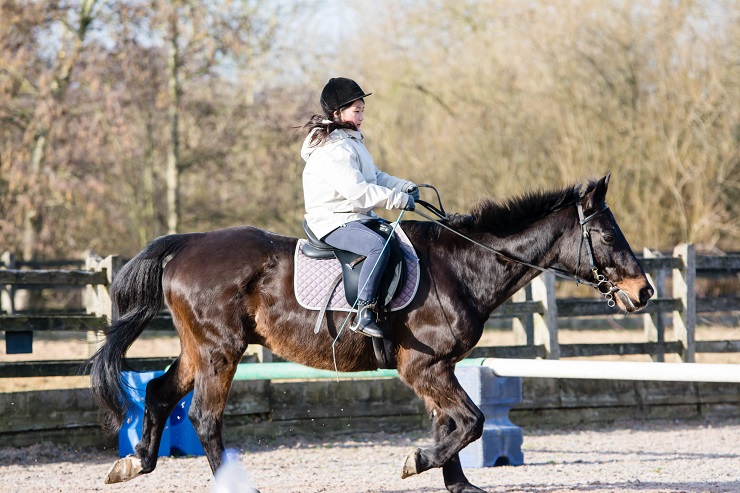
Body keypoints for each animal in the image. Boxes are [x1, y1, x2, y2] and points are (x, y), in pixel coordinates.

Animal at [88, 175, 652, 490]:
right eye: (606, 236)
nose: (644, 292)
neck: (462, 265)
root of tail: (185, 244)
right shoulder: (422, 366)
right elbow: (468, 424)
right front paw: (415, 462)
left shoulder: (438, 368)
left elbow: (452, 425)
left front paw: (459, 485)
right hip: (219, 350)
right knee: (204, 417)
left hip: (197, 349)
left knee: (160, 394)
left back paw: (132, 465)